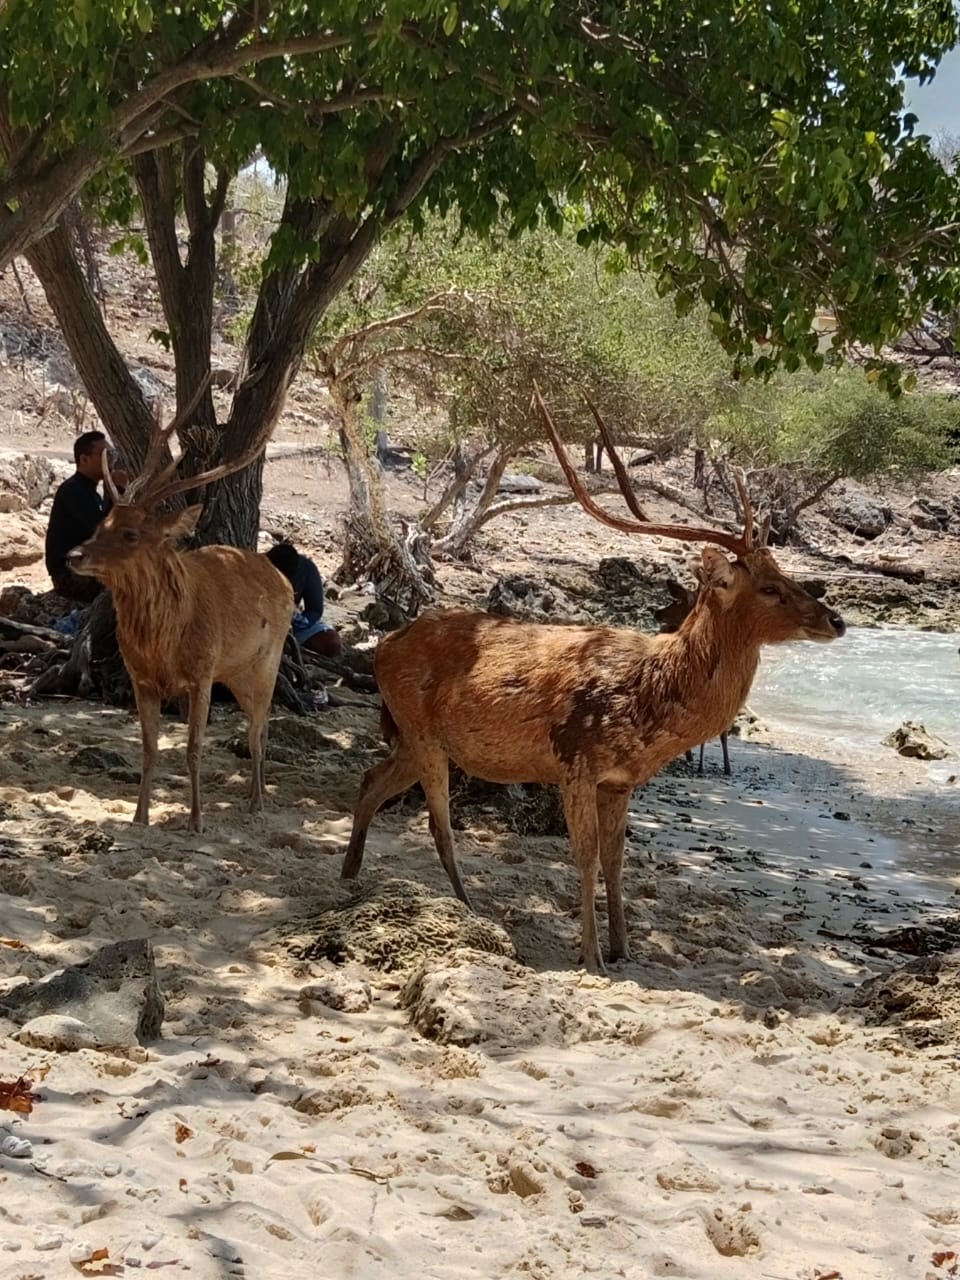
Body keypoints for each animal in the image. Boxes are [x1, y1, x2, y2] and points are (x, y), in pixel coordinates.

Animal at [64, 378, 291, 834]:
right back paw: (252, 795)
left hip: (269, 656)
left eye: (131, 534)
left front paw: (197, 820)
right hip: (235, 672)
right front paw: (139, 817)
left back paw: (258, 802)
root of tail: (283, 578)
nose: (74, 555)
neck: (162, 644)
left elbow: (193, 748)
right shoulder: (141, 678)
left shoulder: (202, 672)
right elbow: (150, 748)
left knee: (261, 725)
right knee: (257, 723)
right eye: (101, 524)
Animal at [343, 389, 844, 967]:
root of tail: (384, 645)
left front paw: (625, 947)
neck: (647, 707)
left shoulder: (620, 781)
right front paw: (592, 956)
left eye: (786, 574)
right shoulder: (575, 762)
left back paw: (349, 875)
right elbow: (582, 856)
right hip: (420, 731)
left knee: (370, 779)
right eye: (769, 588)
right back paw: (469, 909)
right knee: (438, 823)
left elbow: (615, 858)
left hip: (417, 737)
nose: (837, 620)